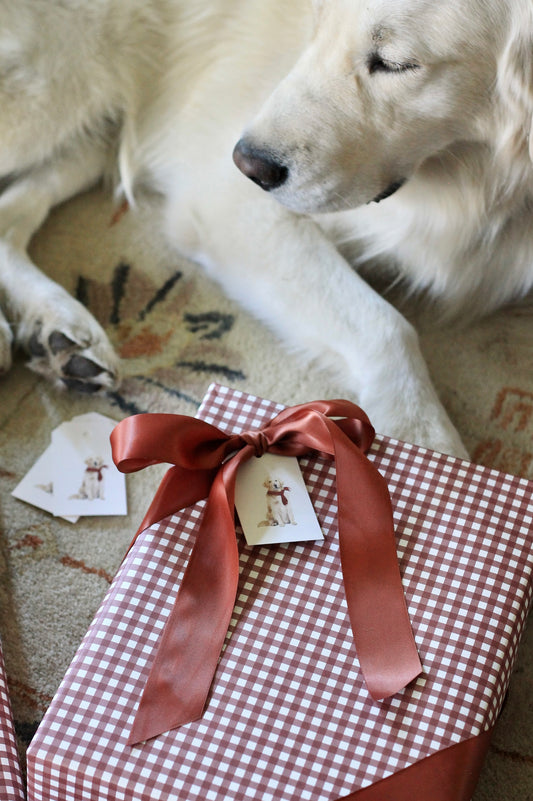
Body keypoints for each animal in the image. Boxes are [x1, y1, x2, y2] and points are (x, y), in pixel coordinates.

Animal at [1, 1, 532, 456]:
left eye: (395, 64)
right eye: (317, 25)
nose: (246, 163)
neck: (479, 181)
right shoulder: (230, 202)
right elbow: (387, 326)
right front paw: (426, 446)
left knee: (12, 214)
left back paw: (57, 330)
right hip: (59, 87)